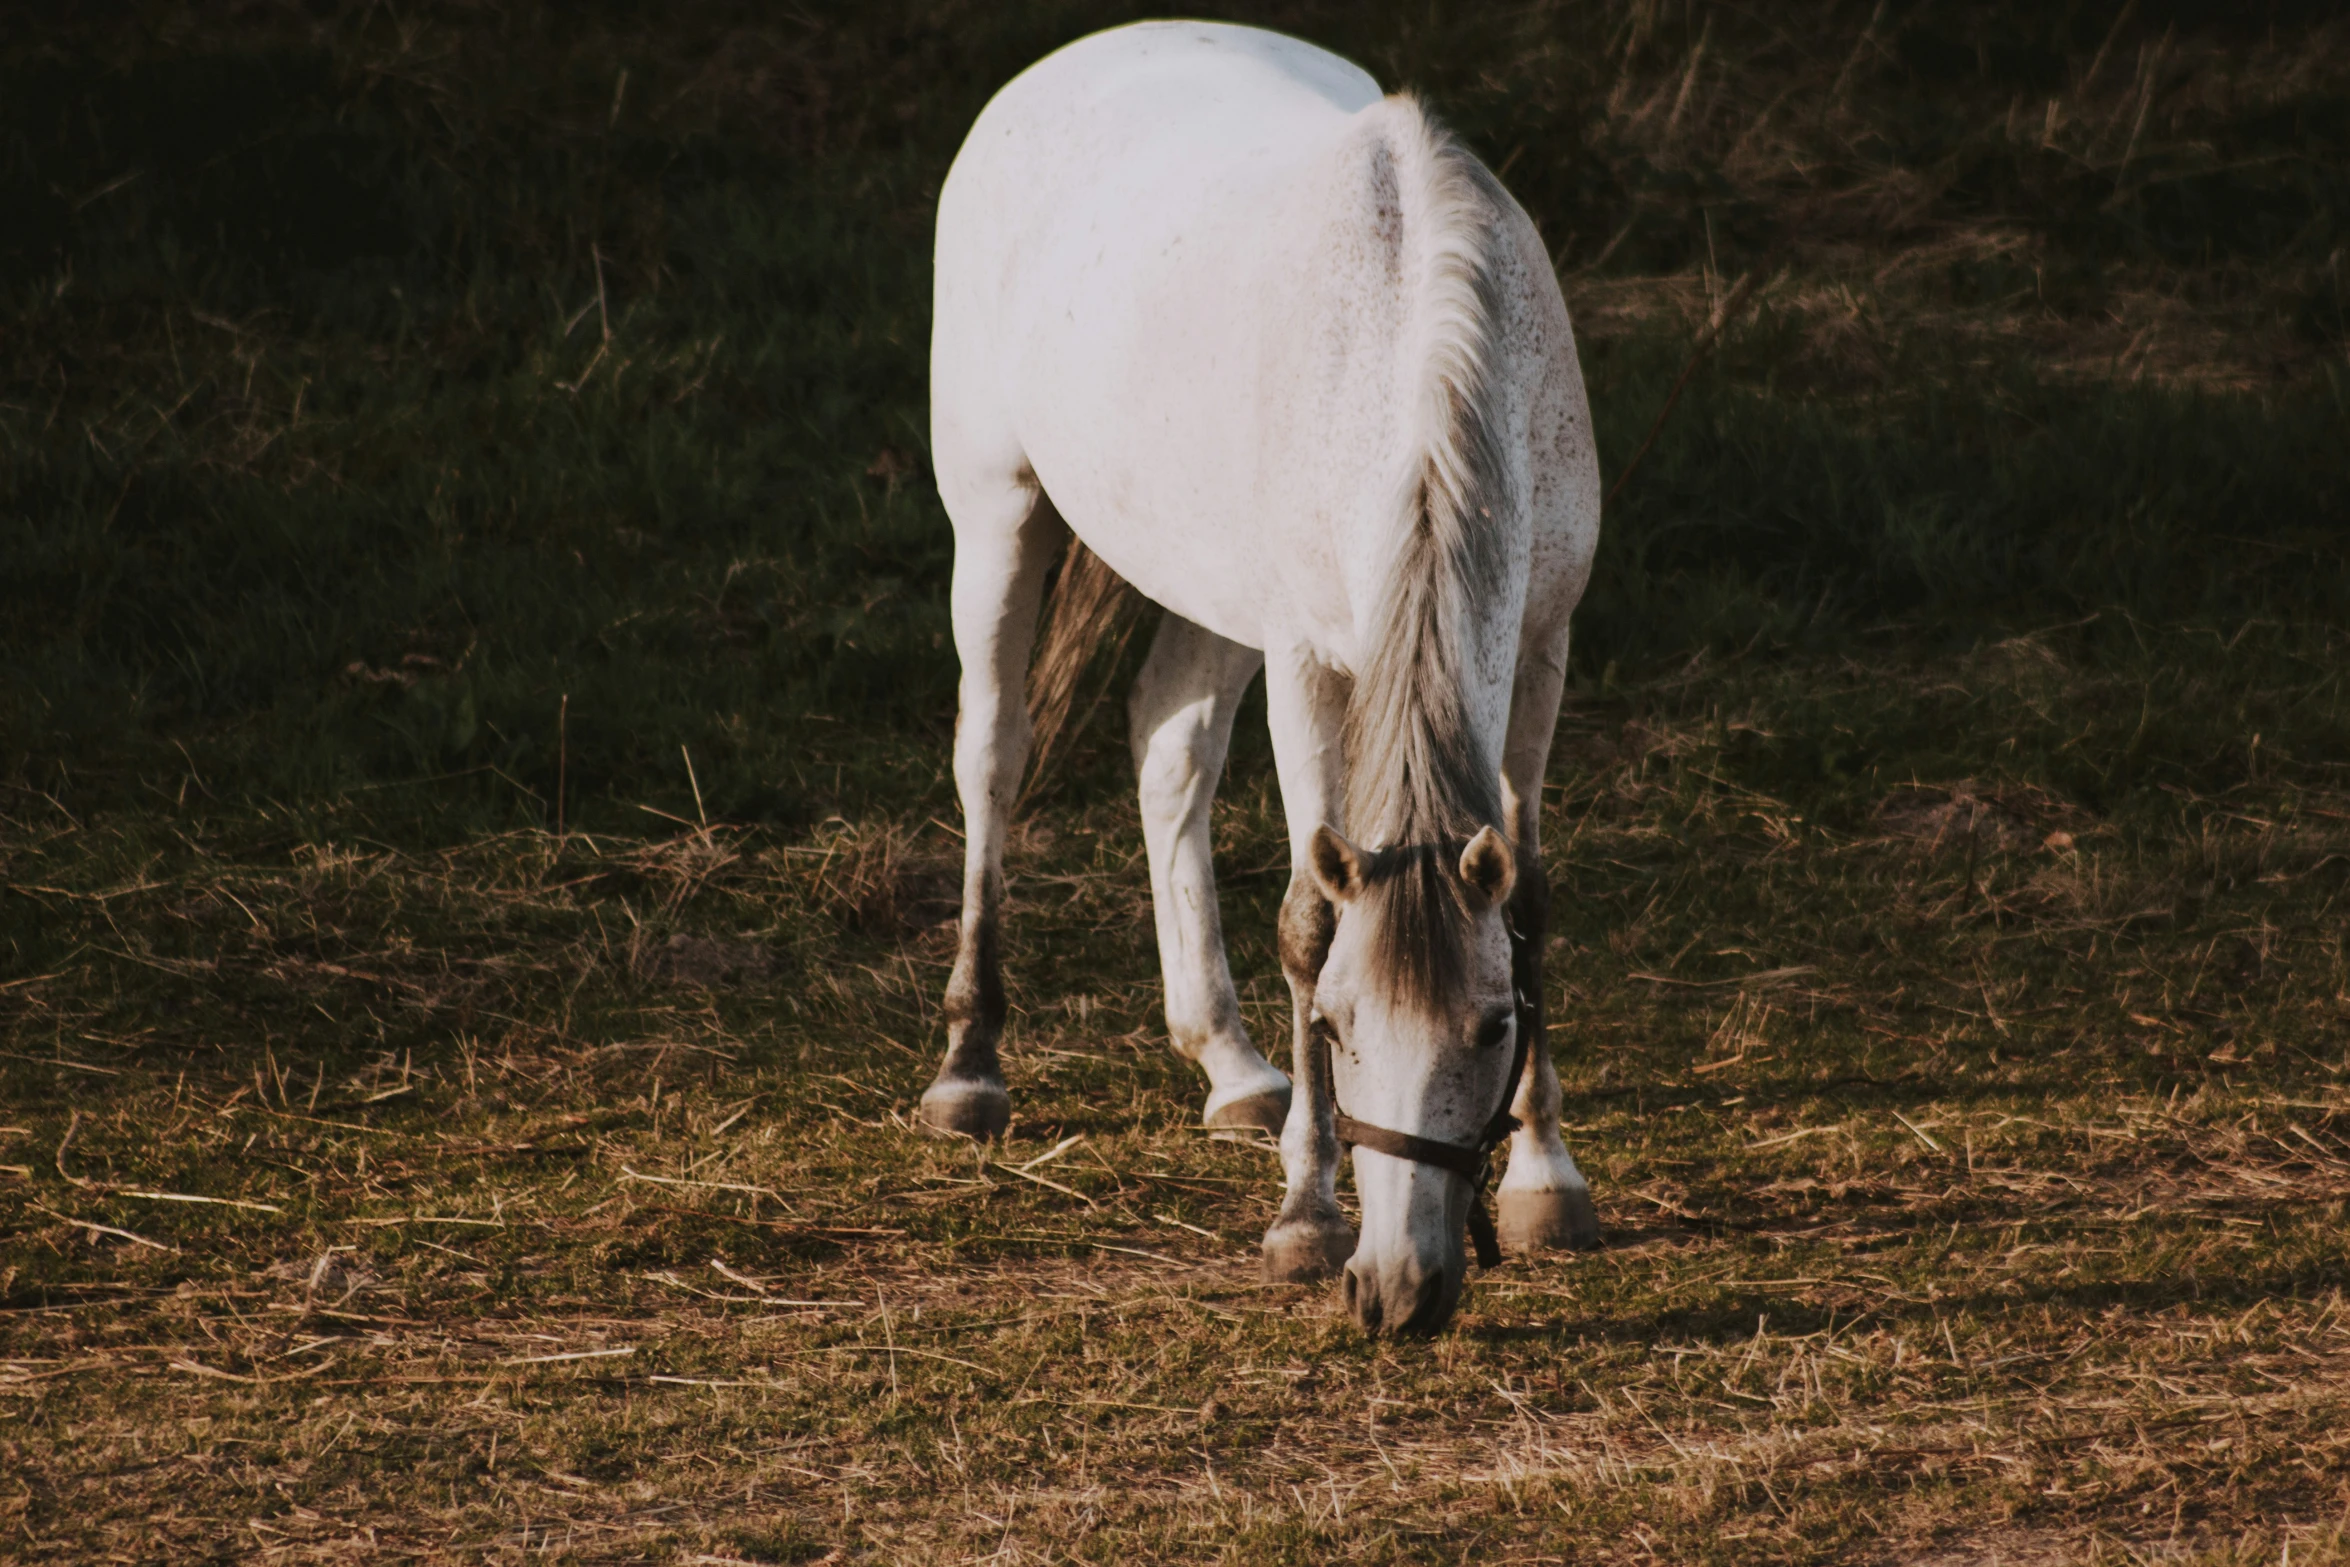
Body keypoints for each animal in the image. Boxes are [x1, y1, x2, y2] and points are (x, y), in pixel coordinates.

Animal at [916, 18, 1597, 1334]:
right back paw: (971, 1066)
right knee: (993, 757)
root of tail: (1080, 55)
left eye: (1493, 1024)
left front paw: (1545, 1177)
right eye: (1334, 1022)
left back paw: (1227, 1065)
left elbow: (1533, 899)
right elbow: (1308, 912)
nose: (1401, 1292)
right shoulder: (1308, 659)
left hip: (1210, 586)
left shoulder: (1541, 643)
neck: (1415, 343)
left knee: (1165, 750)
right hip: (997, 510)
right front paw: (1305, 1216)